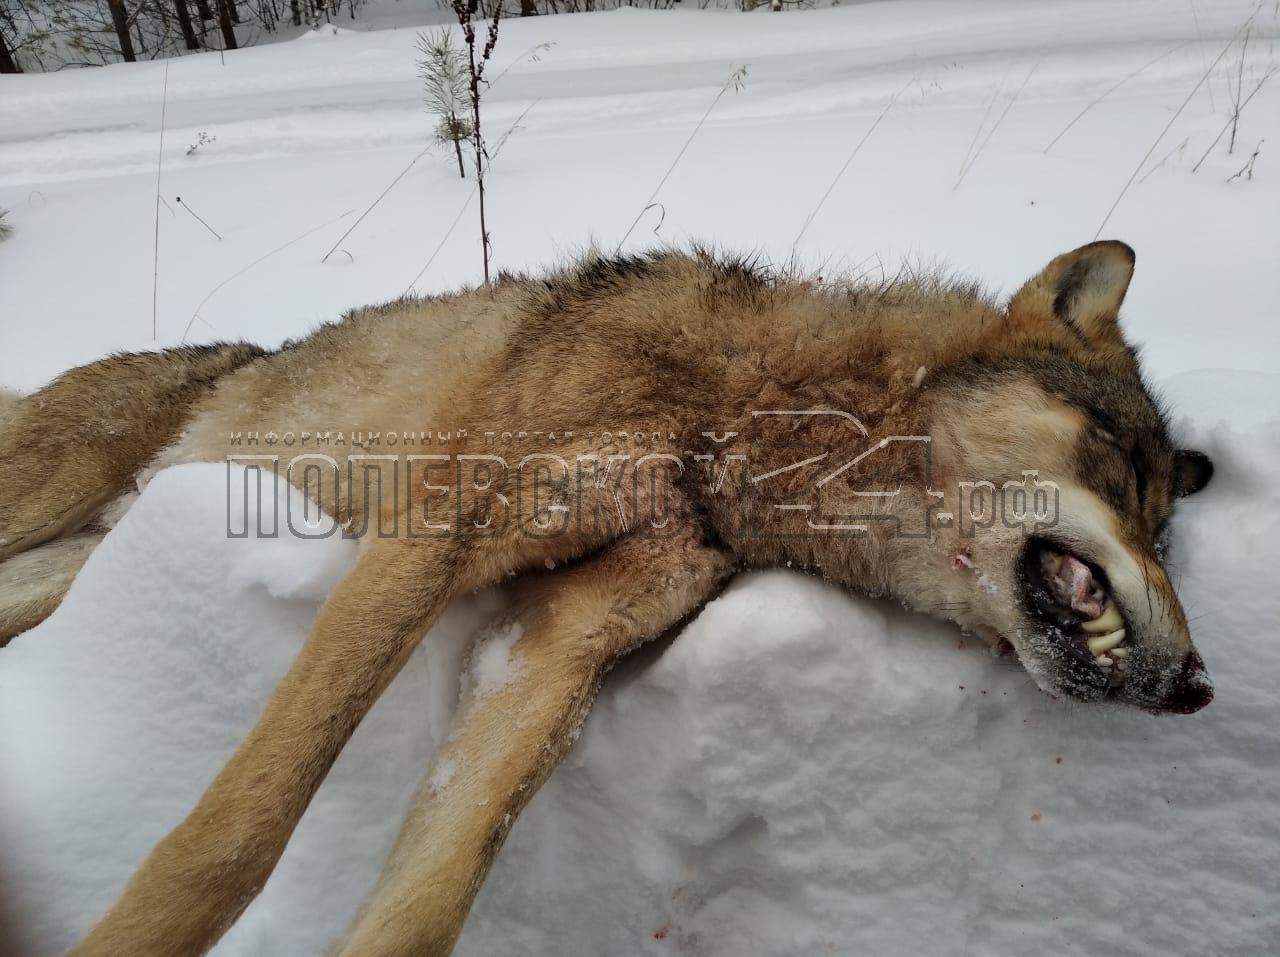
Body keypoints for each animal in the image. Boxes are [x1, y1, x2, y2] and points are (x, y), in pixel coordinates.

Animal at [0, 240, 1214, 956]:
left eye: (1166, 527)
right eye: (1123, 474)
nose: (1200, 686)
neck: (734, 425)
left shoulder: (558, 641)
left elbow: (431, 893)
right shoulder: (425, 544)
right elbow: (234, 836)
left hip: (50, 572)